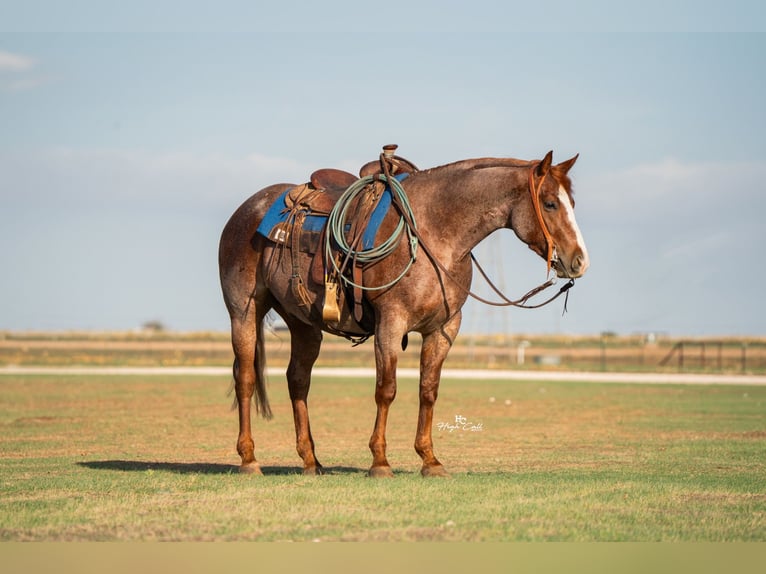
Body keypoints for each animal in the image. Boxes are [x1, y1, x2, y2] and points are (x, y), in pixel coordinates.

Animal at [218, 147, 589, 477]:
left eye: (571, 203)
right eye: (550, 203)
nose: (579, 261)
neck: (435, 233)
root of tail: (247, 209)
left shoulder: (444, 329)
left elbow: (428, 390)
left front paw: (430, 460)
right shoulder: (390, 325)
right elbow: (387, 390)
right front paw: (380, 462)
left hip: (303, 323)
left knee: (298, 380)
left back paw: (311, 461)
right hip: (244, 312)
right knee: (246, 378)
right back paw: (249, 460)